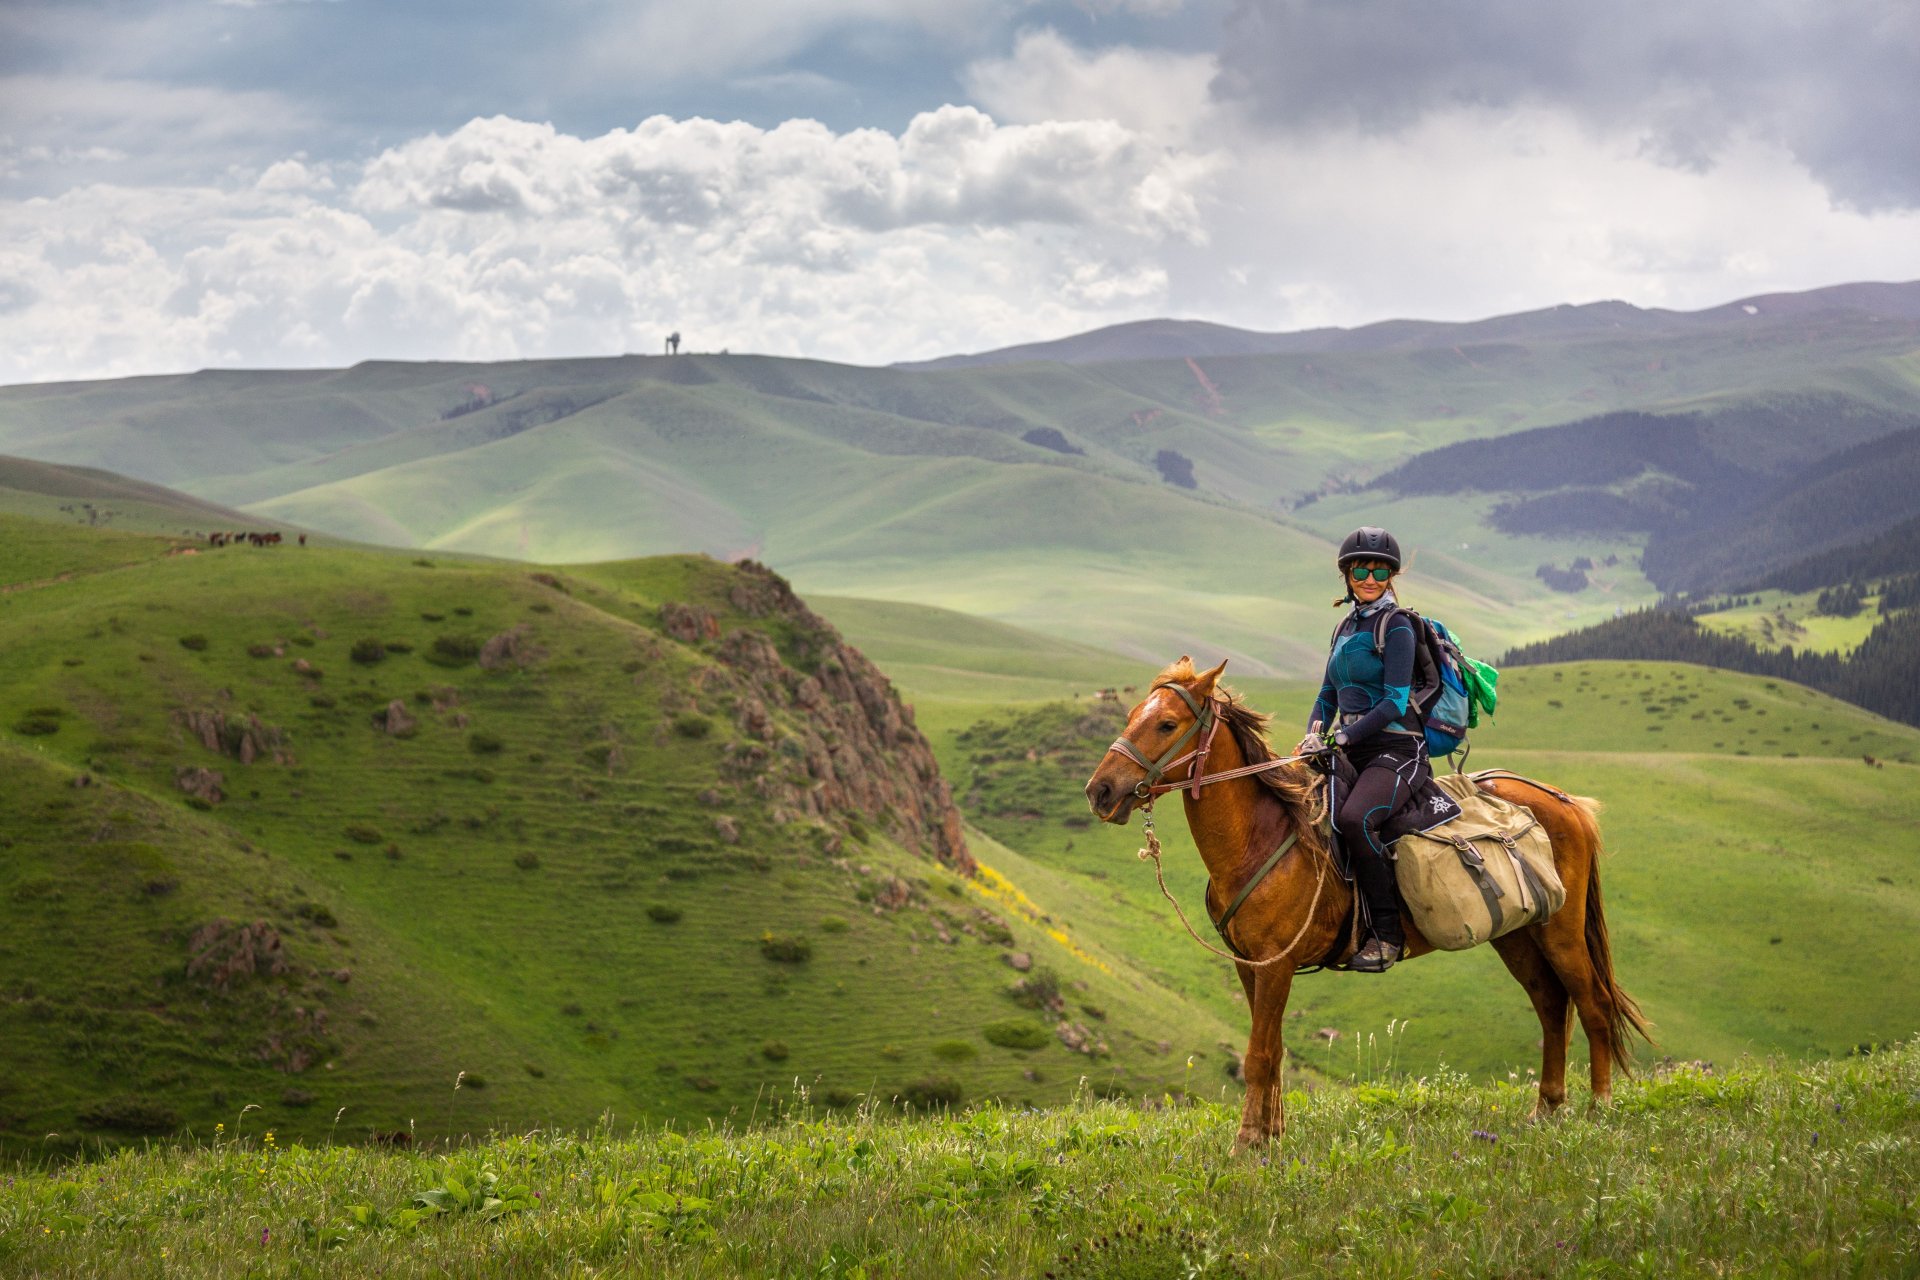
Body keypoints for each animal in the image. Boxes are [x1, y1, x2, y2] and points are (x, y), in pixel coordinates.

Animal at [1082, 660, 1651, 1151]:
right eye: (1131, 716)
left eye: (1166, 724)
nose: (1100, 791)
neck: (1261, 838)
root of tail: (1566, 803)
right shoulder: (1251, 965)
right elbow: (1274, 1049)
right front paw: (1273, 1134)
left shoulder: (1276, 964)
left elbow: (1259, 1054)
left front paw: (1247, 1143)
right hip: (1516, 935)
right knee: (1551, 1005)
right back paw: (1546, 1110)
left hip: (1560, 930)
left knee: (1592, 1003)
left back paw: (1598, 1109)